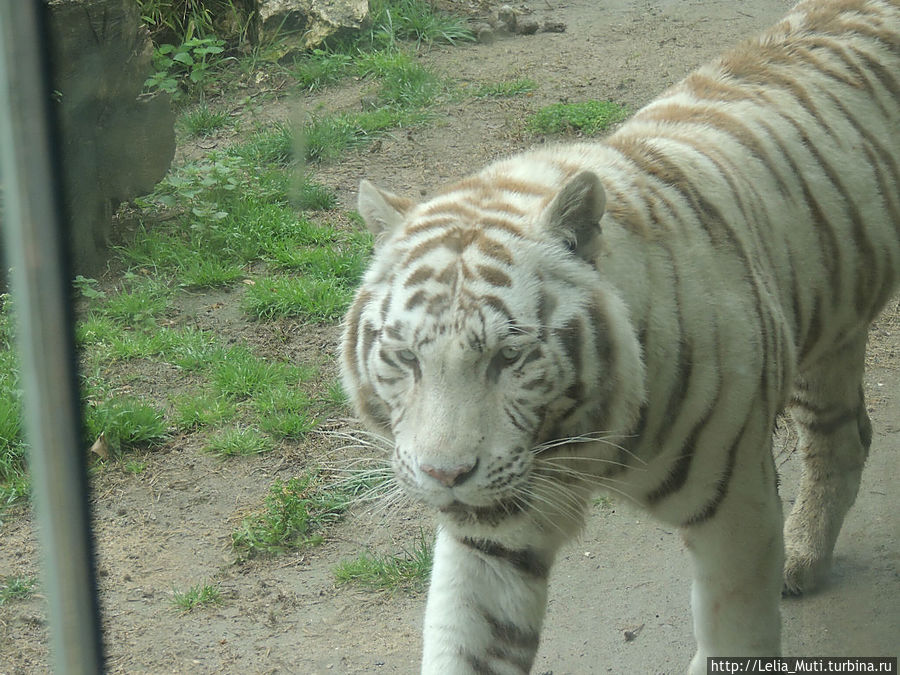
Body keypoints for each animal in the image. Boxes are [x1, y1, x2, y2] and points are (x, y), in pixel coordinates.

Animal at [340, 2, 900, 672]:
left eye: (509, 357)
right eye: (405, 358)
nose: (445, 476)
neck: (581, 442)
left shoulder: (736, 508)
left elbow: (734, 636)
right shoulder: (493, 539)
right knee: (842, 436)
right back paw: (804, 561)